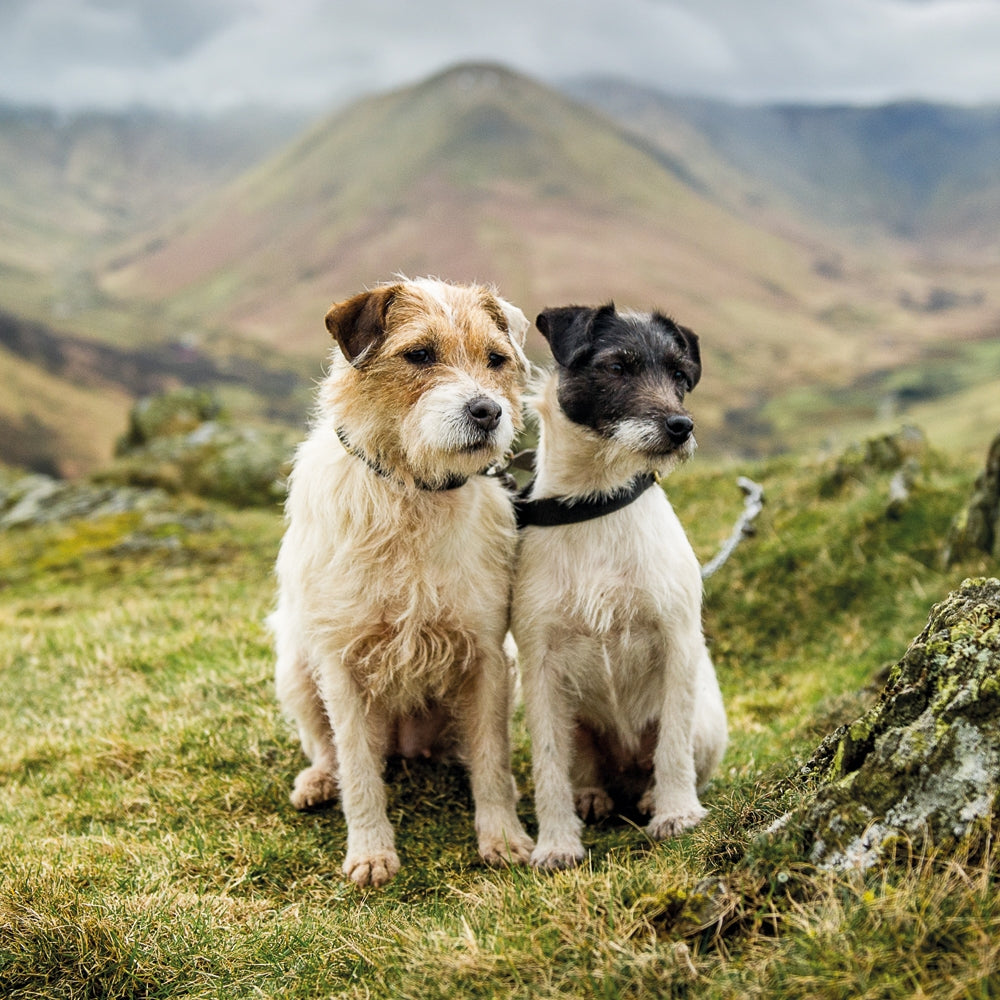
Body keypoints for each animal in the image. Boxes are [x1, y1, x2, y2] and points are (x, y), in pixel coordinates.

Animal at [274, 278, 536, 888]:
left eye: (497, 359)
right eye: (418, 354)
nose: (488, 410)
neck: (415, 491)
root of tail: (408, 746)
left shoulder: (487, 656)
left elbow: (491, 756)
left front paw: (502, 836)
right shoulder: (341, 664)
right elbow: (358, 771)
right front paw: (371, 852)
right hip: (295, 668)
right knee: (329, 750)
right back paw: (318, 781)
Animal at [512, 302, 724, 868]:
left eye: (680, 375)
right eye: (617, 366)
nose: (681, 427)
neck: (596, 503)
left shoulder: (677, 641)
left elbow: (672, 745)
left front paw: (676, 814)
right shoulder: (539, 666)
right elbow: (548, 766)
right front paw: (556, 843)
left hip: (708, 721)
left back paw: (653, 796)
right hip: (577, 721)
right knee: (581, 768)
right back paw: (591, 796)